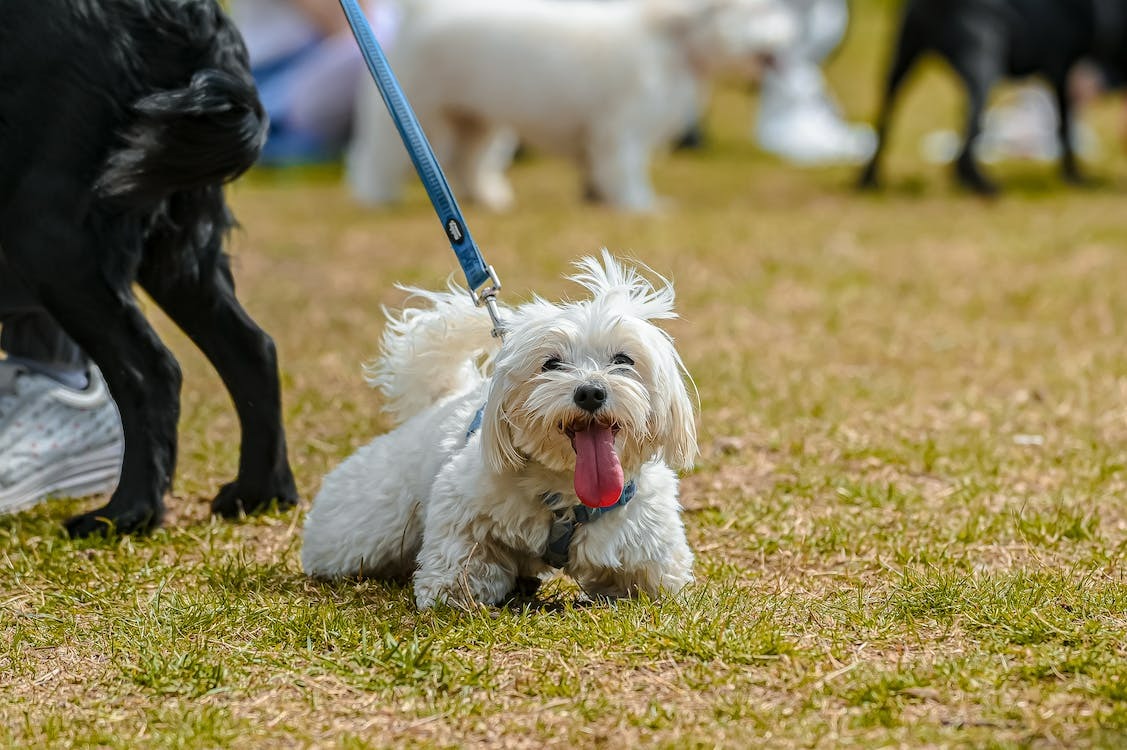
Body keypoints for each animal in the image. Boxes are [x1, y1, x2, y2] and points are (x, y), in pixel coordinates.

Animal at [0, 1, 297, 539]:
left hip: (46, 232)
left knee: (151, 373)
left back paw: (125, 513)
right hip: (175, 237)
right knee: (253, 350)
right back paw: (257, 493)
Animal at [347, 0, 797, 210]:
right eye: (760, 11)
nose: (790, 37)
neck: (672, 41)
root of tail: (423, 14)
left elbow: (599, 172)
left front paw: (599, 197)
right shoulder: (622, 130)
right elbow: (626, 171)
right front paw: (641, 205)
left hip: (475, 121)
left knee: (467, 162)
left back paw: (487, 197)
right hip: (419, 116)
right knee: (379, 156)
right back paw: (378, 195)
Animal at [856, 0, 1122, 196]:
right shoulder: (1060, 68)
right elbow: (1065, 128)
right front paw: (1075, 178)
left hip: (901, 60)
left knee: (886, 120)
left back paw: (869, 180)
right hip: (984, 59)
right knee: (967, 141)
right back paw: (982, 186)